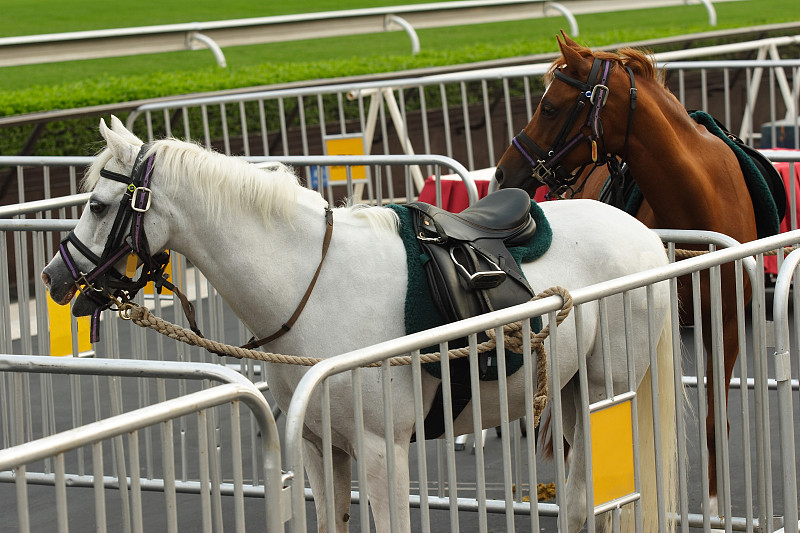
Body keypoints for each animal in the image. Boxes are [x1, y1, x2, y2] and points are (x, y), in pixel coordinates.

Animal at [42, 117, 680, 532]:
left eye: (98, 205)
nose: (54, 276)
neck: (312, 285)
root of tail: (644, 237)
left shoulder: (383, 451)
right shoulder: (321, 447)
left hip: (605, 393)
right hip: (573, 395)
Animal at [494, 33, 780, 516]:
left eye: (549, 107)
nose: (503, 172)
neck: (701, 196)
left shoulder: (725, 325)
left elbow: (713, 420)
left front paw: (715, 507)